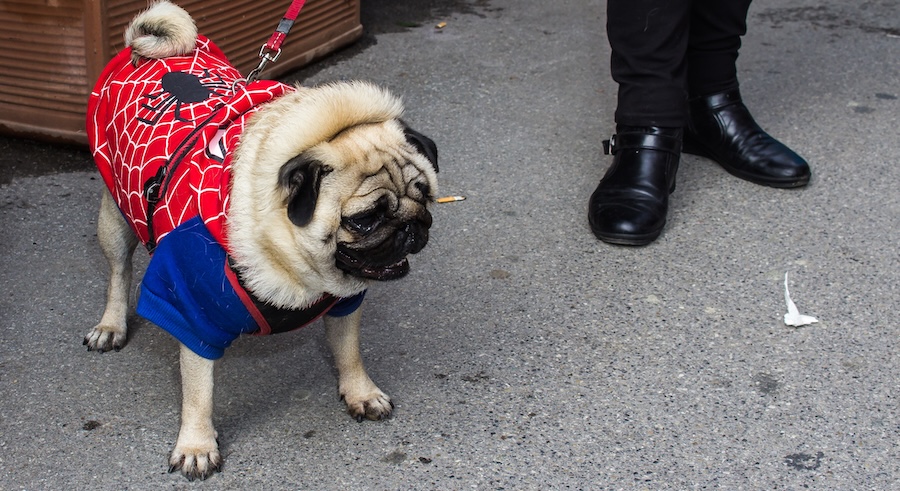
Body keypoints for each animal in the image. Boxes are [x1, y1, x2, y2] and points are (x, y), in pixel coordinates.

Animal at [81, 0, 440, 480]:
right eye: (365, 220)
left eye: (425, 196)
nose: (410, 226)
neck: (297, 270)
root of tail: (144, 52)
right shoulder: (192, 311)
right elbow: (199, 393)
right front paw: (196, 444)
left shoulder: (345, 301)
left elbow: (349, 352)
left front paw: (360, 392)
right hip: (116, 215)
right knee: (119, 272)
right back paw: (111, 326)